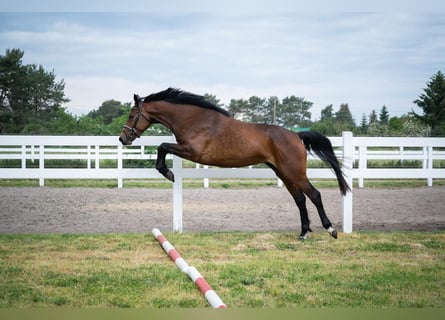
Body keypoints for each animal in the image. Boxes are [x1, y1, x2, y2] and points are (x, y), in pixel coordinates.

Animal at [119, 87, 348, 240]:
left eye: (132, 114)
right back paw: (303, 233)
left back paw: (331, 230)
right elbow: (163, 147)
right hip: (283, 173)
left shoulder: (192, 151)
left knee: (314, 195)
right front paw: (168, 172)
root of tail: (296, 136)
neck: (194, 119)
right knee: (300, 199)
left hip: (294, 173)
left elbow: (162, 146)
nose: (123, 139)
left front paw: (167, 173)